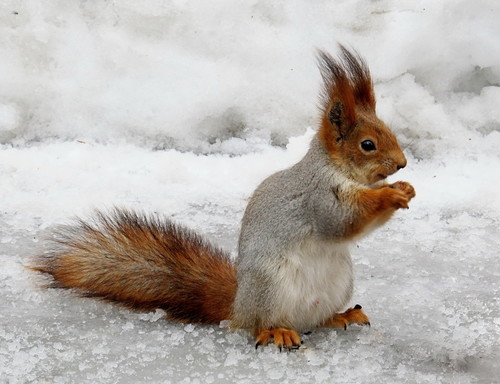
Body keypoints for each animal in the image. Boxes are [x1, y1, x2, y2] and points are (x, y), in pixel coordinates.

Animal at [30, 45, 414, 352]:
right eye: (368, 145)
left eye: (390, 133)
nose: (402, 163)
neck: (338, 170)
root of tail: (238, 306)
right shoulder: (317, 198)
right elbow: (343, 220)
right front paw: (390, 194)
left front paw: (405, 188)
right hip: (270, 286)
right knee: (260, 325)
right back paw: (276, 332)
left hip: (338, 282)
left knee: (314, 320)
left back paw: (340, 316)